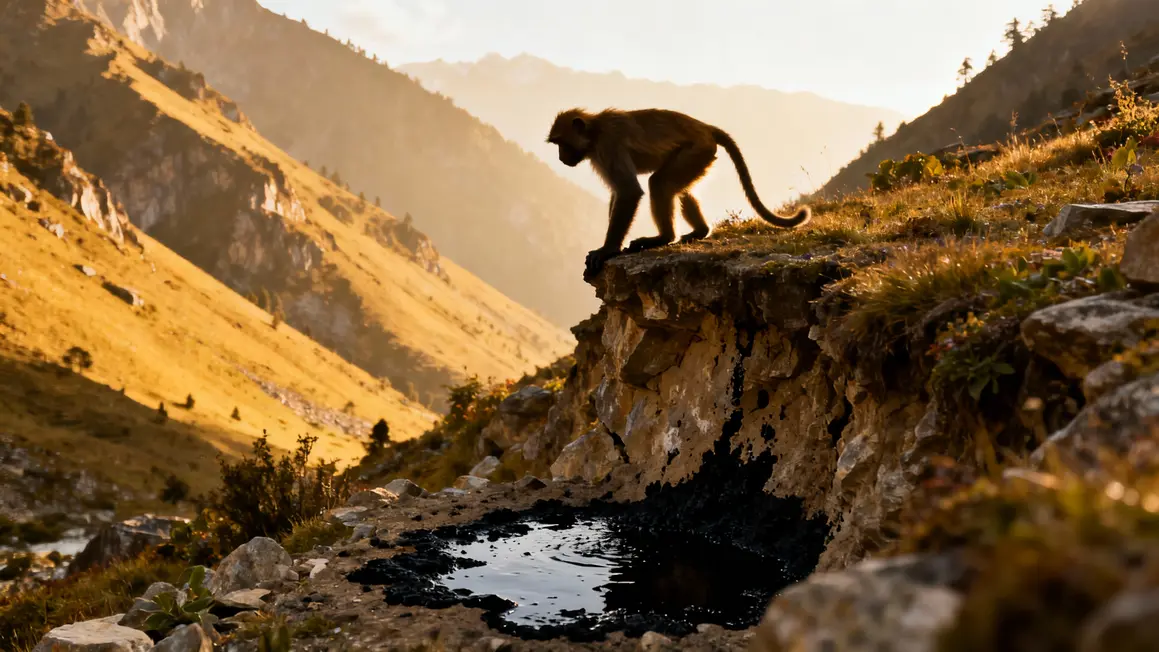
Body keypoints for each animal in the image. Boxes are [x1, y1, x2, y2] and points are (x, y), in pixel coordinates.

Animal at [546, 108, 811, 280]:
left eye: (562, 144)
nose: (560, 158)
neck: (595, 130)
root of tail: (705, 127)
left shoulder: (608, 145)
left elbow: (629, 192)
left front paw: (607, 250)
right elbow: (618, 192)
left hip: (698, 149)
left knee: (659, 183)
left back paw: (664, 237)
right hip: (701, 155)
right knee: (680, 189)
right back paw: (699, 231)